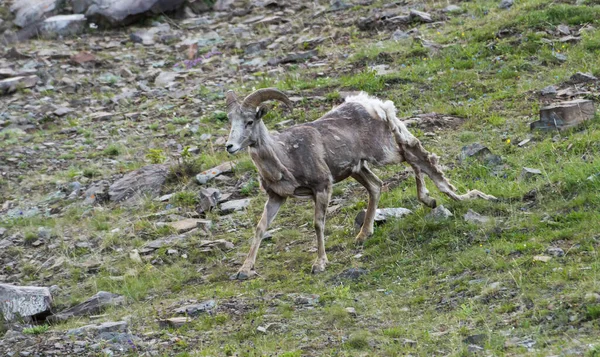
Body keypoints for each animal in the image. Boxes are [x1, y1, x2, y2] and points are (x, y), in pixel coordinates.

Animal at [224, 87, 492, 276]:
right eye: (231, 121)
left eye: (249, 121)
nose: (229, 146)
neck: (285, 156)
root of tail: (375, 105)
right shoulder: (276, 197)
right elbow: (261, 227)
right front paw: (244, 270)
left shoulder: (322, 188)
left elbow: (318, 224)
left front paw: (320, 264)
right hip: (358, 168)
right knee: (378, 184)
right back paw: (364, 234)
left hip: (385, 153)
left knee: (415, 155)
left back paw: (438, 198)